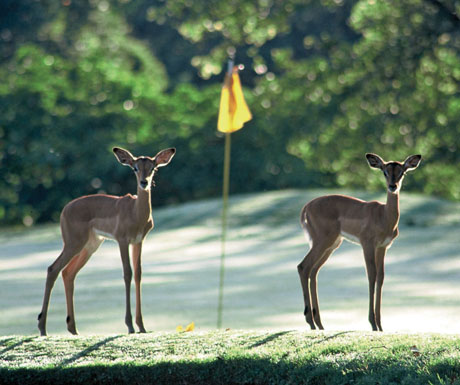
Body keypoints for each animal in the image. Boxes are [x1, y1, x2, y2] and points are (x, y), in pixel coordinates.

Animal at [36, 146, 174, 334]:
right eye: (134, 168)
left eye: (152, 168)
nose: (144, 183)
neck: (136, 213)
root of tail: (64, 210)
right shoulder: (122, 240)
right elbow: (127, 273)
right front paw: (130, 326)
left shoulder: (138, 241)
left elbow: (138, 274)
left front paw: (142, 326)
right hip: (73, 244)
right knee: (53, 269)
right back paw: (43, 328)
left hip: (90, 246)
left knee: (68, 273)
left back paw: (73, 329)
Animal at [298, 153, 420, 330]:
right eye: (384, 171)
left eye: (402, 172)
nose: (392, 186)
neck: (383, 216)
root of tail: (306, 207)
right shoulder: (367, 244)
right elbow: (371, 275)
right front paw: (373, 323)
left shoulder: (383, 247)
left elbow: (380, 277)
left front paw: (380, 326)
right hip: (322, 242)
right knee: (303, 267)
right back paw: (311, 323)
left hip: (331, 245)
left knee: (313, 271)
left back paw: (320, 324)